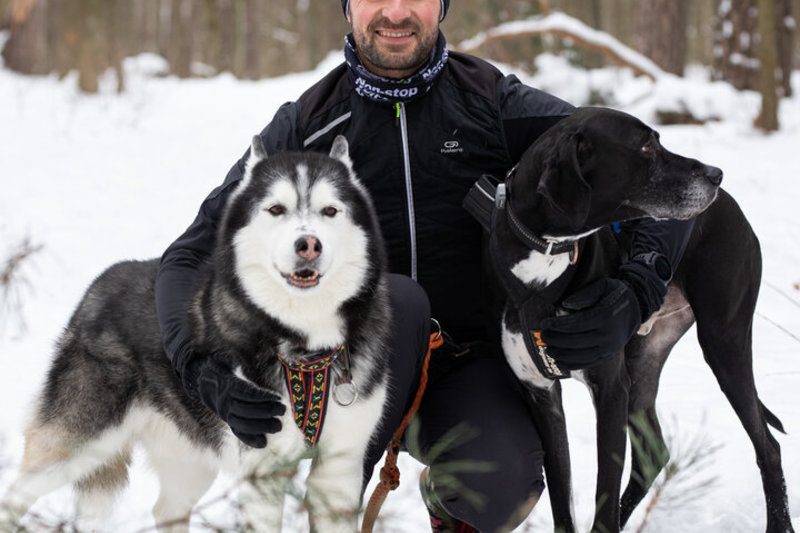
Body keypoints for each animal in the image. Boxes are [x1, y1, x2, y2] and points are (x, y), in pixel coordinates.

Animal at [0, 135, 388, 528]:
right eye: (276, 209)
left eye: (330, 211)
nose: (308, 244)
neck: (306, 348)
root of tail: (98, 286)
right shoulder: (262, 469)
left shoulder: (339, 474)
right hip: (74, 445)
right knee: (15, 496)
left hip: (190, 455)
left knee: (167, 509)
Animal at [466, 107, 792, 532]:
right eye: (646, 146)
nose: (716, 174)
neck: (545, 254)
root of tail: (732, 207)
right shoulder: (542, 397)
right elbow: (562, 503)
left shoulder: (609, 390)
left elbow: (603, 498)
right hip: (644, 358)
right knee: (653, 453)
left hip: (724, 342)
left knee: (767, 446)